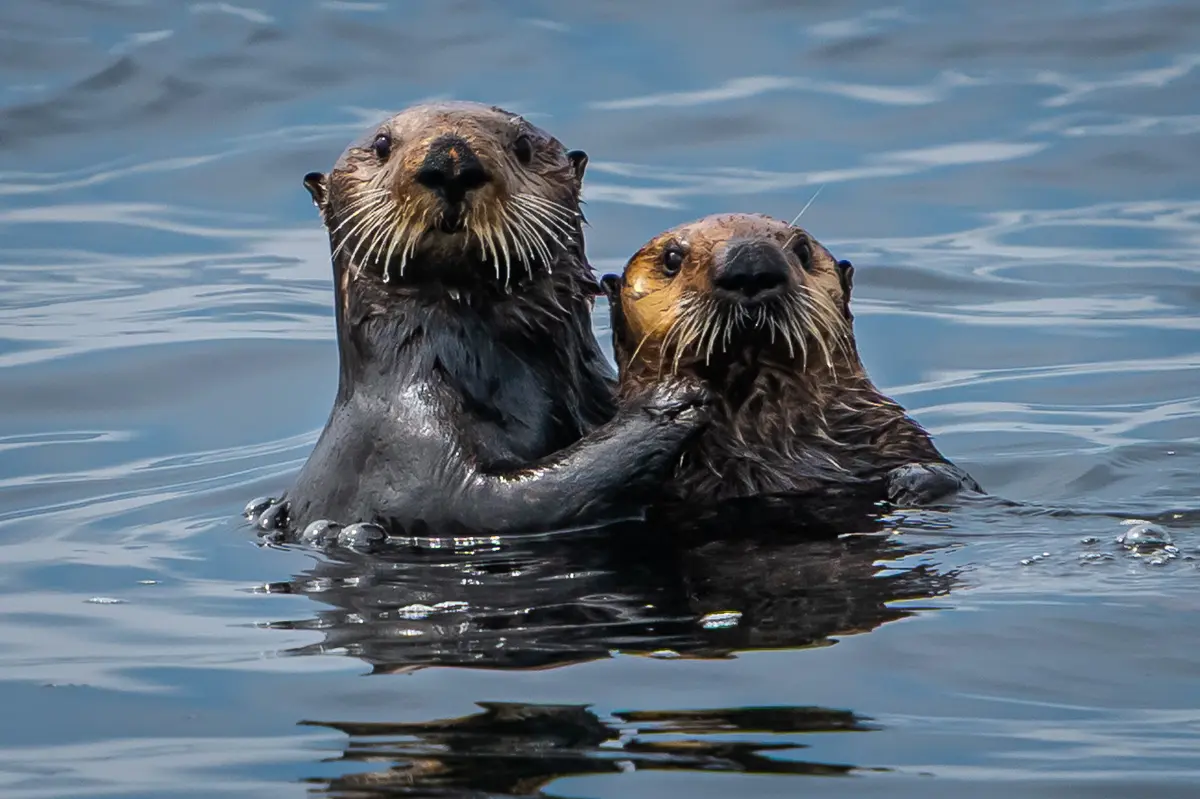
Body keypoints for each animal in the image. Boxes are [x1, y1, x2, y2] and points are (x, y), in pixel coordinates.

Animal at [259, 102, 706, 538]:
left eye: (523, 146)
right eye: (382, 144)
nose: (450, 161)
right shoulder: (402, 449)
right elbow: (499, 503)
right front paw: (672, 398)